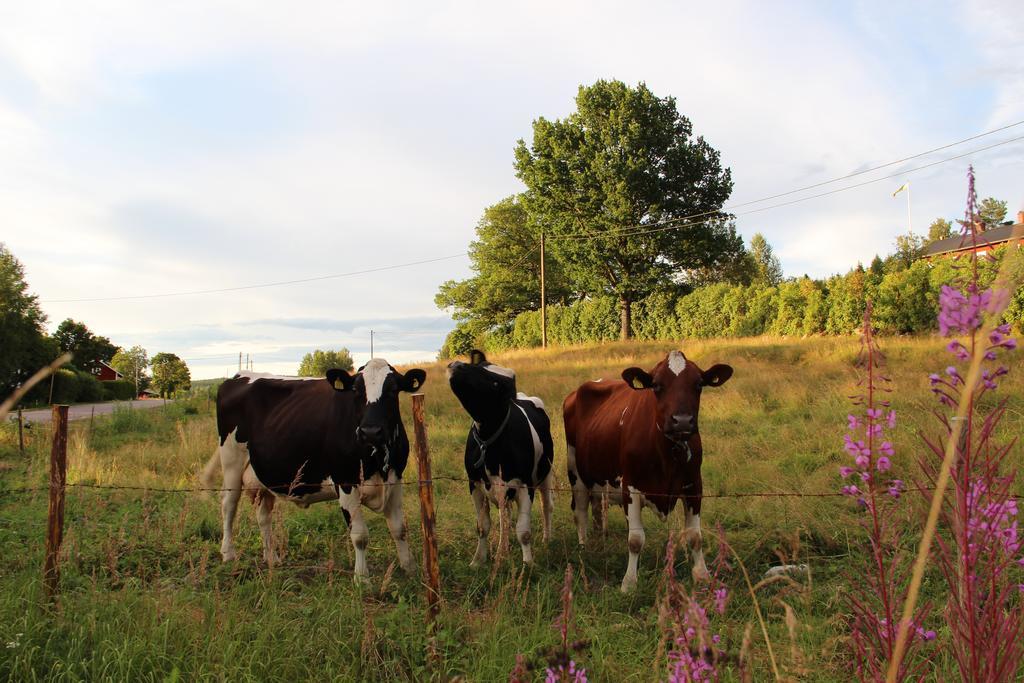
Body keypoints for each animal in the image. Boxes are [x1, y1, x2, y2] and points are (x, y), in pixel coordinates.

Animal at [197, 358, 425, 581]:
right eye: (356, 390)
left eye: (393, 390)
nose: (370, 431)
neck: (377, 460)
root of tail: (239, 376)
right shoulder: (345, 481)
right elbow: (360, 535)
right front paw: (361, 579)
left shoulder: (396, 478)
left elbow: (399, 529)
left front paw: (410, 568)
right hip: (231, 459)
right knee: (229, 504)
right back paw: (228, 553)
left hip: (262, 474)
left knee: (263, 515)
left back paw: (271, 558)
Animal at [446, 350, 552, 565]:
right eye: (479, 366)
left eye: (495, 384)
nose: (458, 365)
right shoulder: (474, 484)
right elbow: (482, 526)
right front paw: (478, 561)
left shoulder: (524, 486)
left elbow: (524, 531)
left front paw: (528, 564)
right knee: (506, 516)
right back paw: (504, 551)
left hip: (545, 475)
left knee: (546, 506)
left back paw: (545, 539)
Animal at [565, 352, 733, 593]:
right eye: (657, 385)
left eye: (699, 384)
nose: (682, 420)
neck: (668, 453)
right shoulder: (630, 487)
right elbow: (635, 539)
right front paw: (629, 583)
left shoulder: (694, 485)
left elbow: (694, 536)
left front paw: (702, 576)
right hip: (576, 474)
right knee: (580, 512)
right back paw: (584, 549)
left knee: (597, 508)